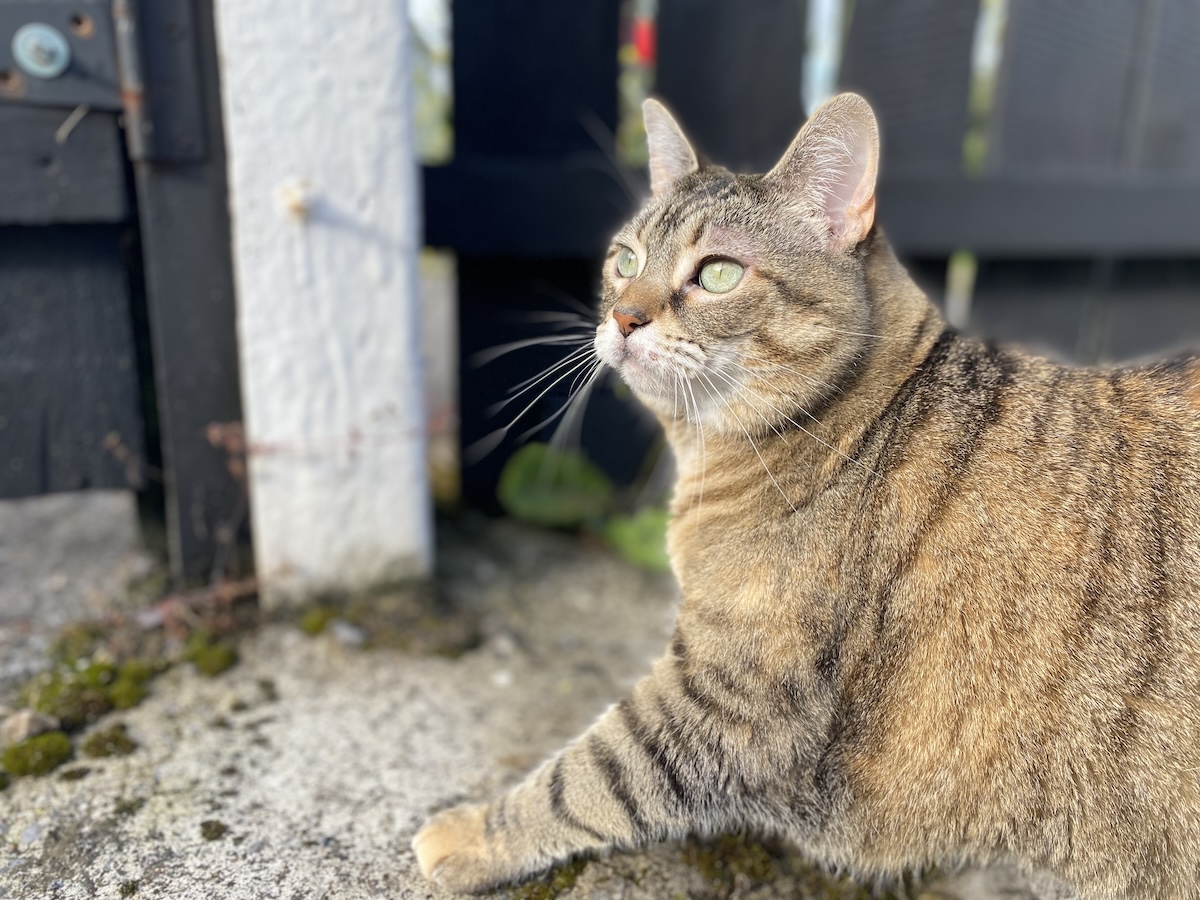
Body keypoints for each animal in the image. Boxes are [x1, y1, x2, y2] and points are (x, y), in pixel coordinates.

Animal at [415, 93, 1200, 900]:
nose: (623, 317)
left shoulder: (733, 698)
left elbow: (592, 775)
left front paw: (471, 834)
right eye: (625, 260)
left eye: (717, 273)